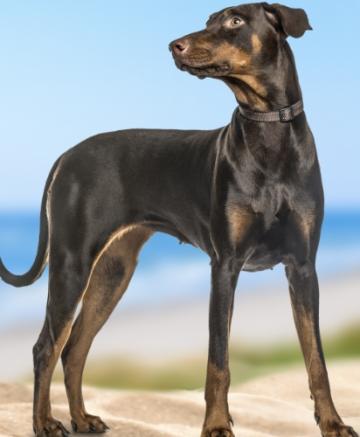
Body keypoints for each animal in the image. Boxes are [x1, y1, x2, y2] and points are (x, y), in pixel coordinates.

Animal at [0, 3, 358, 436]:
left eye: (235, 20)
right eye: (208, 20)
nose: (175, 45)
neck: (268, 126)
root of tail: (67, 155)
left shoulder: (303, 267)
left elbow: (316, 359)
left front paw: (333, 422)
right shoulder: (225, 266)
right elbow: (218, 361)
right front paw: (217, 425)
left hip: (113, 273)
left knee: (74, 349)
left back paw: (82, 418)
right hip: (73, 263)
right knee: (46, 347)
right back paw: (45, 423)